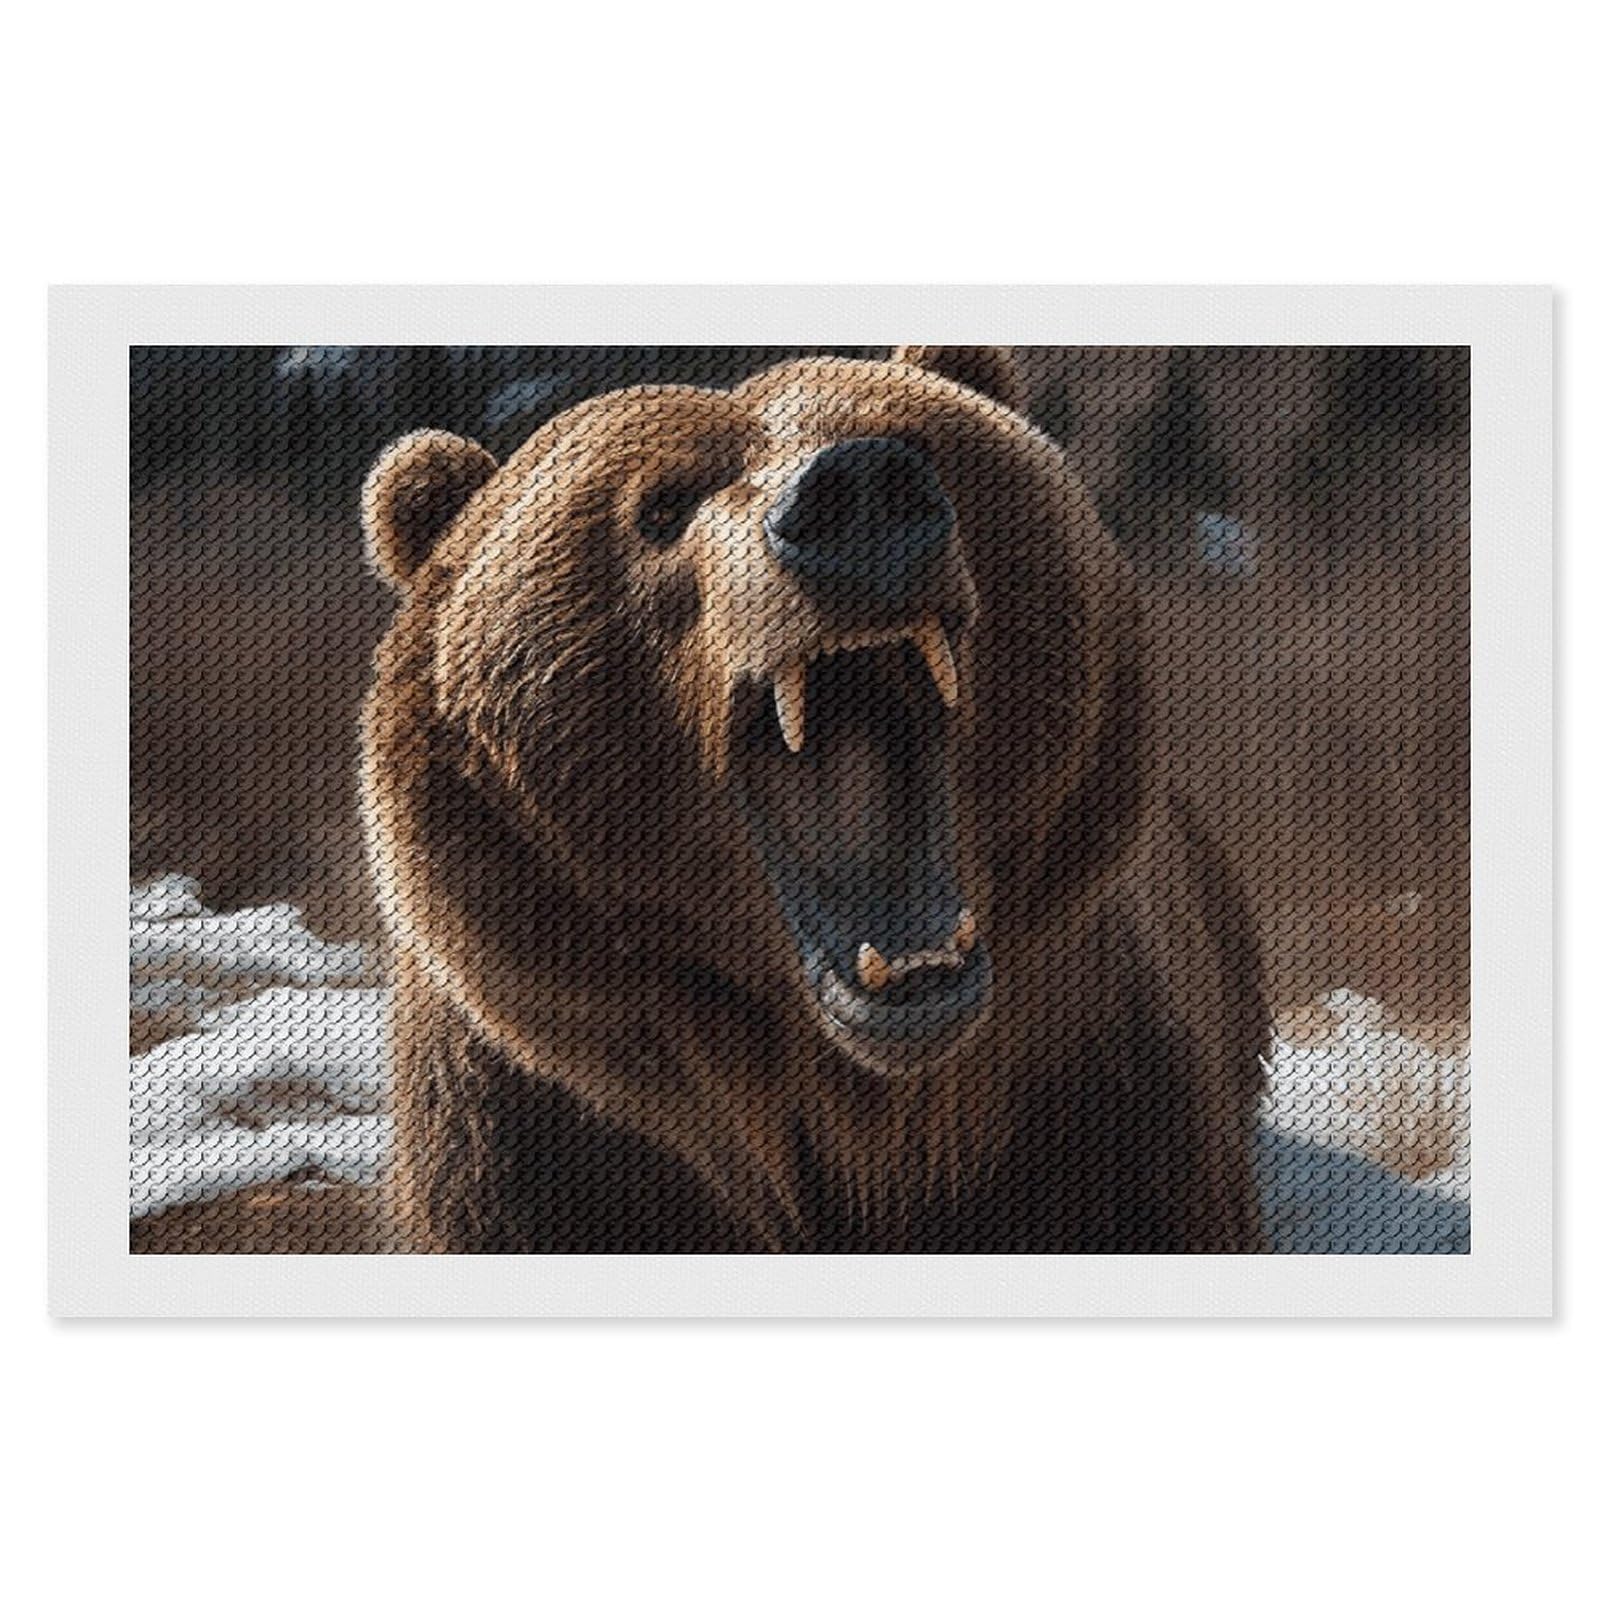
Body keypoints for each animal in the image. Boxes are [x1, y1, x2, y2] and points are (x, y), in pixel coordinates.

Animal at [359, 345, 1269, 1252]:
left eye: (915, 442)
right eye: (661, 505)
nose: (855, 494)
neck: (859, 1113)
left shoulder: (1100, 1100)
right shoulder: (533, 1151)